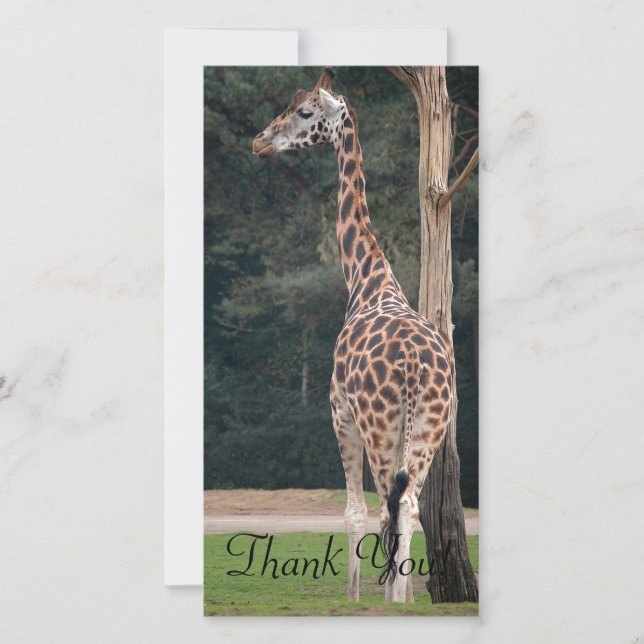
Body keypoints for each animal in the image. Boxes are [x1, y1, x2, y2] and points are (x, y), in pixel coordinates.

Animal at [252, 68, 453, 603]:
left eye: (304, 112)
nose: (260, 141)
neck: (366, 279)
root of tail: (415, 367)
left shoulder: (337, 409)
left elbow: (353, 514)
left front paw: (354, 599)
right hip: (429, 428)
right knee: (409, 507)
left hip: (378, 424)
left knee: (389, 508)